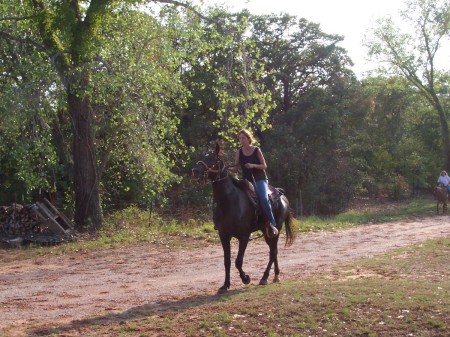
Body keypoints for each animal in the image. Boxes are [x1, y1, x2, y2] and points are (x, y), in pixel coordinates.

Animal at [192, 143, 296, 292]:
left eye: (212, 158)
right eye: (202, 156)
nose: (195, 171)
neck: (229, 201)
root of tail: (281, 194)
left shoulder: (244, 236)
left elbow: (238, 261)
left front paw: (246, 278)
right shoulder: (224, 235)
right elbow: (227, 261)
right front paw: (225, 285)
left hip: (276, 228)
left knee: (273, 252)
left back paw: (265, 277)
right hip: (266, 232)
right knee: (273, 251)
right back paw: (275, 276)